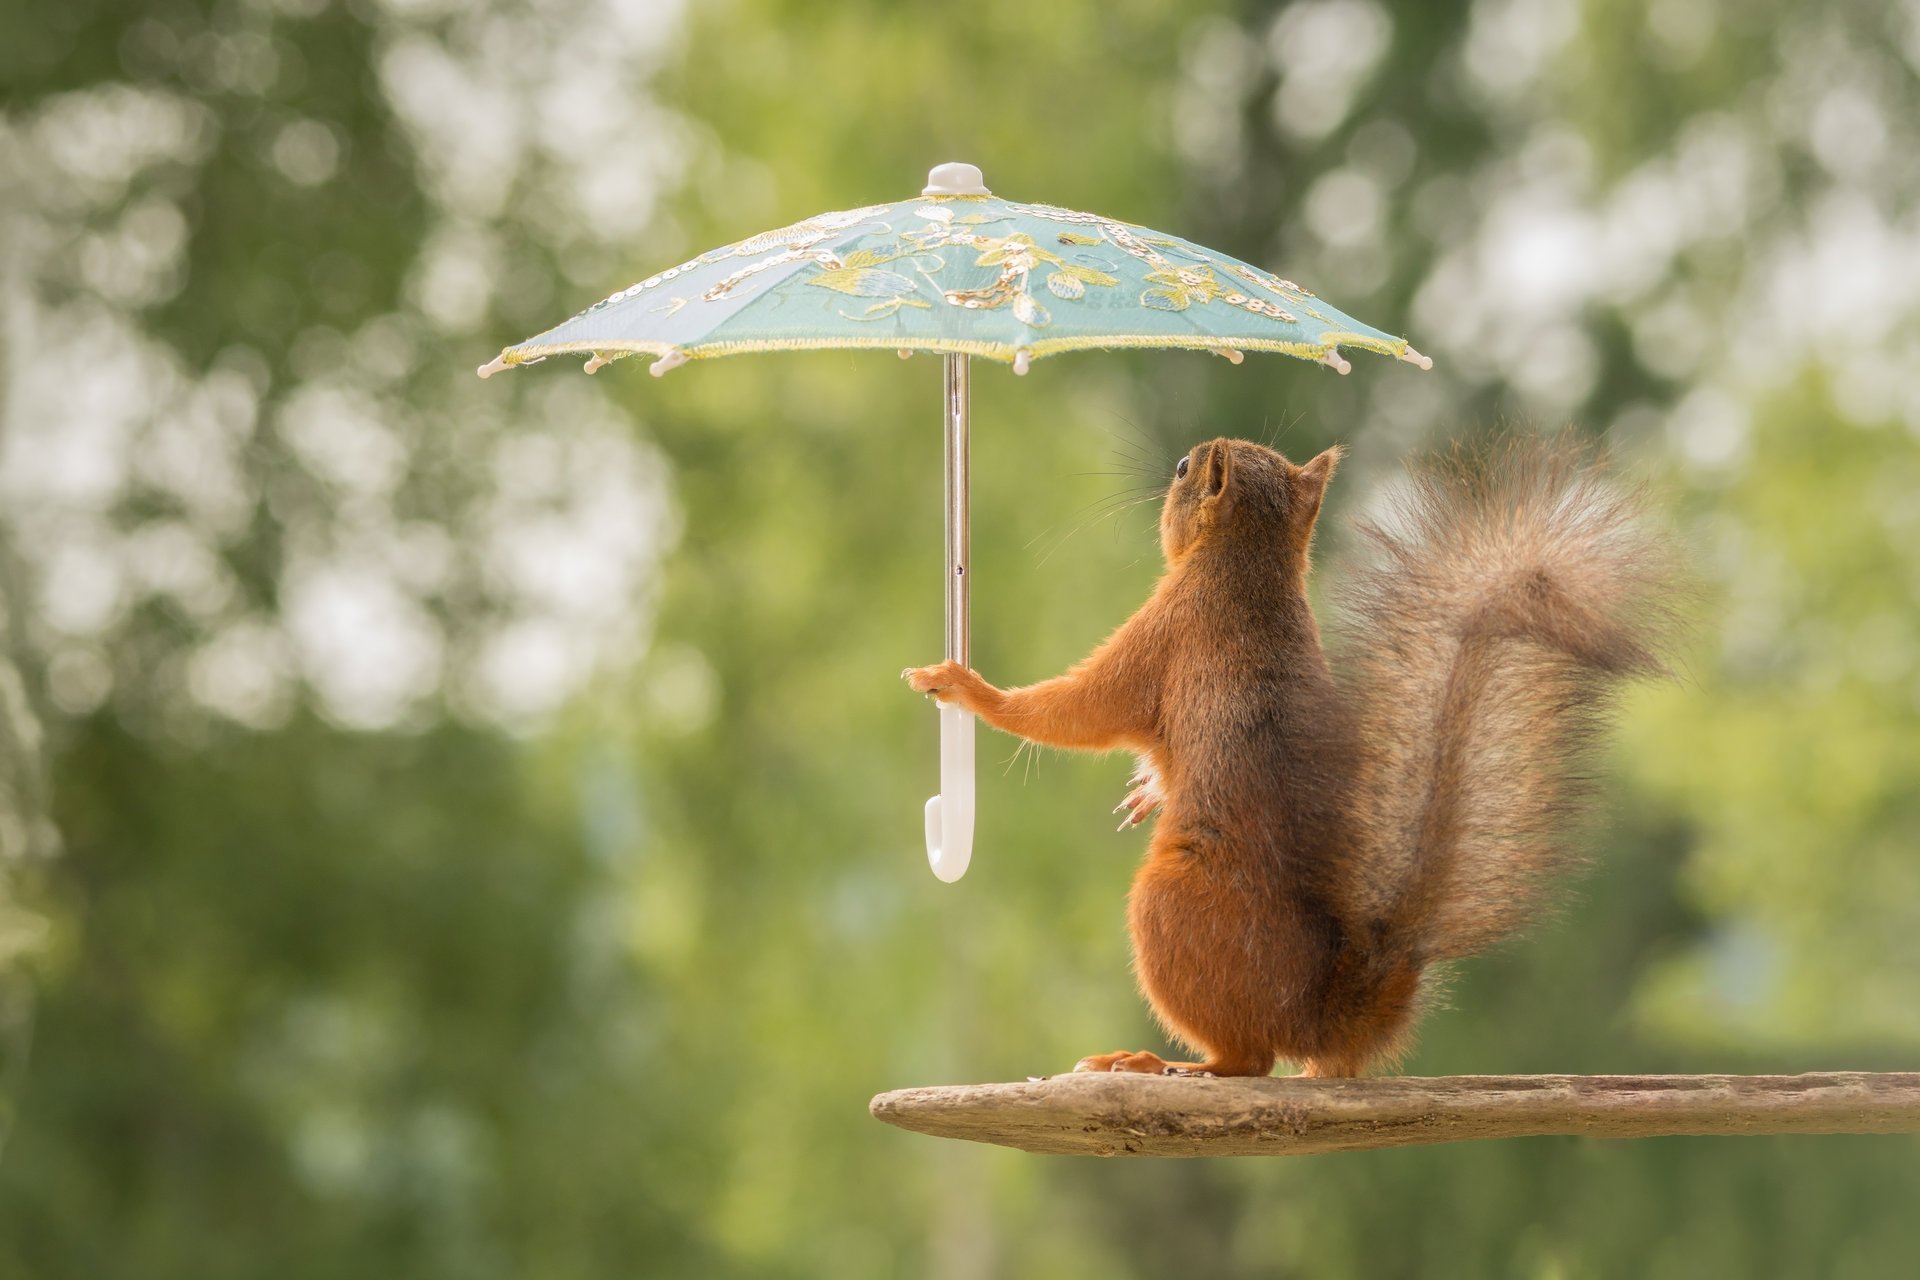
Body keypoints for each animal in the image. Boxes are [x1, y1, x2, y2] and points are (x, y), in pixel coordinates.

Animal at [906, 435, 1674, 1074]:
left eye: (1183, 469)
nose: (1169, 470)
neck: (1251, 562)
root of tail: (1319, 1019)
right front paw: (1146, 792)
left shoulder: (1167, 629)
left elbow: (1078, 709)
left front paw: (968, 688)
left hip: (1170, 903)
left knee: (1248, 1061)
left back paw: (1159, 1063)